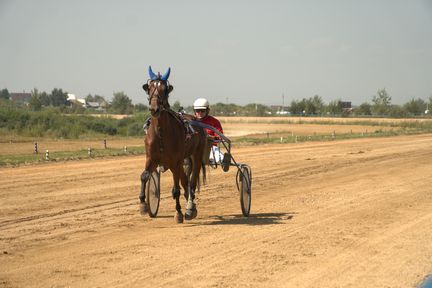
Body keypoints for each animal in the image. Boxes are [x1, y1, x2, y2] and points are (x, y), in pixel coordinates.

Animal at [138, 66, 206, 224]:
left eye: (164, 89)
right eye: (150, 88)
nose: (155, 109)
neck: (161, 134)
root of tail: (195, 119)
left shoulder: (175, 162)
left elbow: (175, 189)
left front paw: (178, 213)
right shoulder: (151, 159)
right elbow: (144, 176)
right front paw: (143, 205)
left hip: (196, 155)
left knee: (191, 182)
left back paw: (190, 208)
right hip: (182, 162)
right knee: (185, 181)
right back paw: (190, 206)